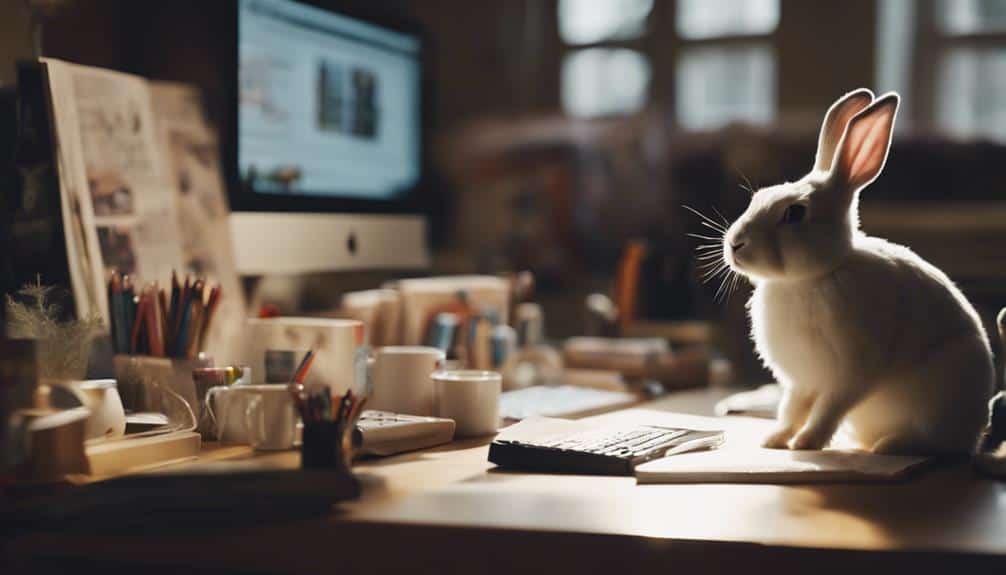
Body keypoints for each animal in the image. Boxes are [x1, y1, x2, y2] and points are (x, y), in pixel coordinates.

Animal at [718, 88, 994, 455]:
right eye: (758, 197)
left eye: (795, 213)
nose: (734, 244)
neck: (809, 278)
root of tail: (974, 435)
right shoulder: (801, 382)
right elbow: (792, 409)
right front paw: (774, 441)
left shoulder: (851, 372)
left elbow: (828, 409)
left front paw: (806, 444)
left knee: (935, 443)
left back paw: (890, 445)